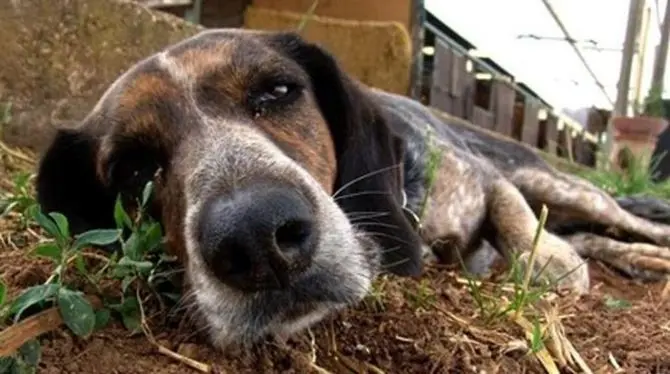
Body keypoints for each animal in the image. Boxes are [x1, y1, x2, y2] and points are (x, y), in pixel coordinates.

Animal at [36, 28, 670, 348]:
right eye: (133, 169)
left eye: (277, 91)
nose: (257, 239)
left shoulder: (481, 177)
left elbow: (515, 220)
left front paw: (547, 265)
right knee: (595, 238)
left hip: (561, 184)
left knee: (611, 221)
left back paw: (646, 247)